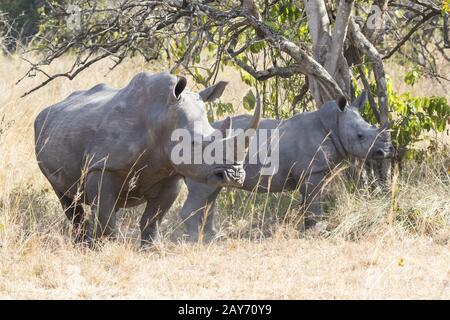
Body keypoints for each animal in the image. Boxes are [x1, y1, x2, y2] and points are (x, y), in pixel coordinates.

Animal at [34, 72, 260, 246]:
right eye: (195, 144)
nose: (234, 176)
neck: (161, 116)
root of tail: (50, 107)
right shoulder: (103, 166)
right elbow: (105, 216)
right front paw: (102, 248)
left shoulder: (171, 175)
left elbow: (153, 219)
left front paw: (152, 249)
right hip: (44, 133)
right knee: (68, 199)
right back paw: (81, 243)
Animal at [180, 91, 394, 241]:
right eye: (360, 136)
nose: (386, 151)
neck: (334, 125)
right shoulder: (312, 171)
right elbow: (314, 202)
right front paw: (318, 231)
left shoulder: (315, 172)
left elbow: (310, 202)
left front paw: (308, 229)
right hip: (202, 159)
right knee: (202, 193)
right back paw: (194, 240)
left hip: (213, 168)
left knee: (210, 195)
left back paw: (213, 237)